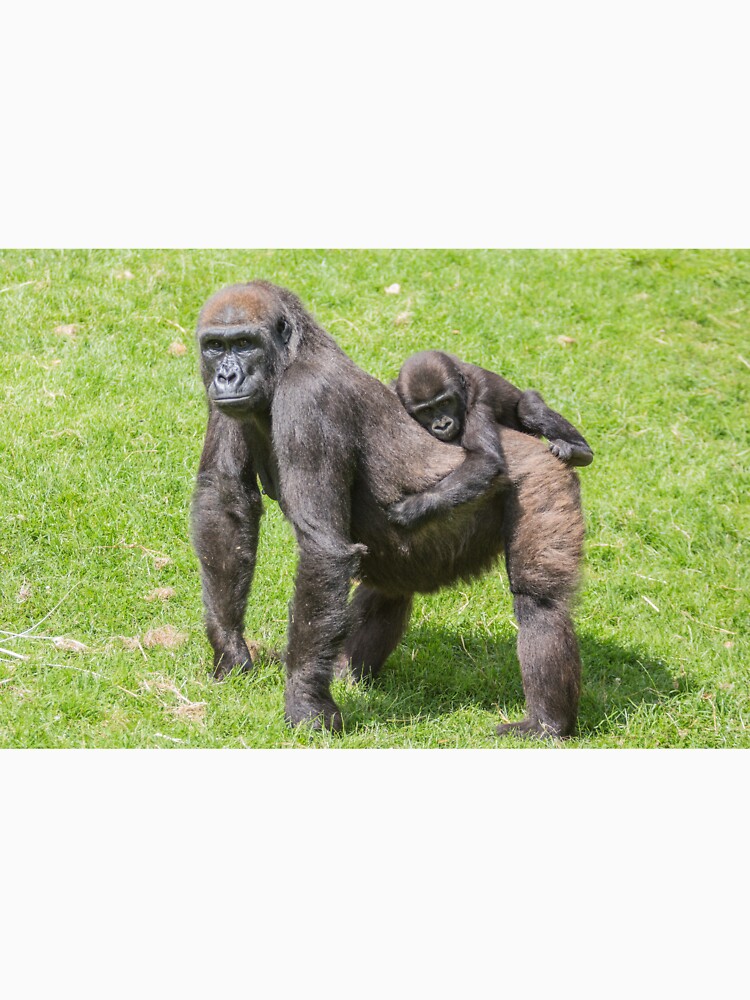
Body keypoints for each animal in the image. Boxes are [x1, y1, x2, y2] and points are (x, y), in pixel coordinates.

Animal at [389, 350, 593, 528]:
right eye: (426, 411)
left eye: (445, 402)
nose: (442, 425)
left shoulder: (478, 400)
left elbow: (485, 457)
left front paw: (414, 507)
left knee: (529, 409)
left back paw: (580, 451)